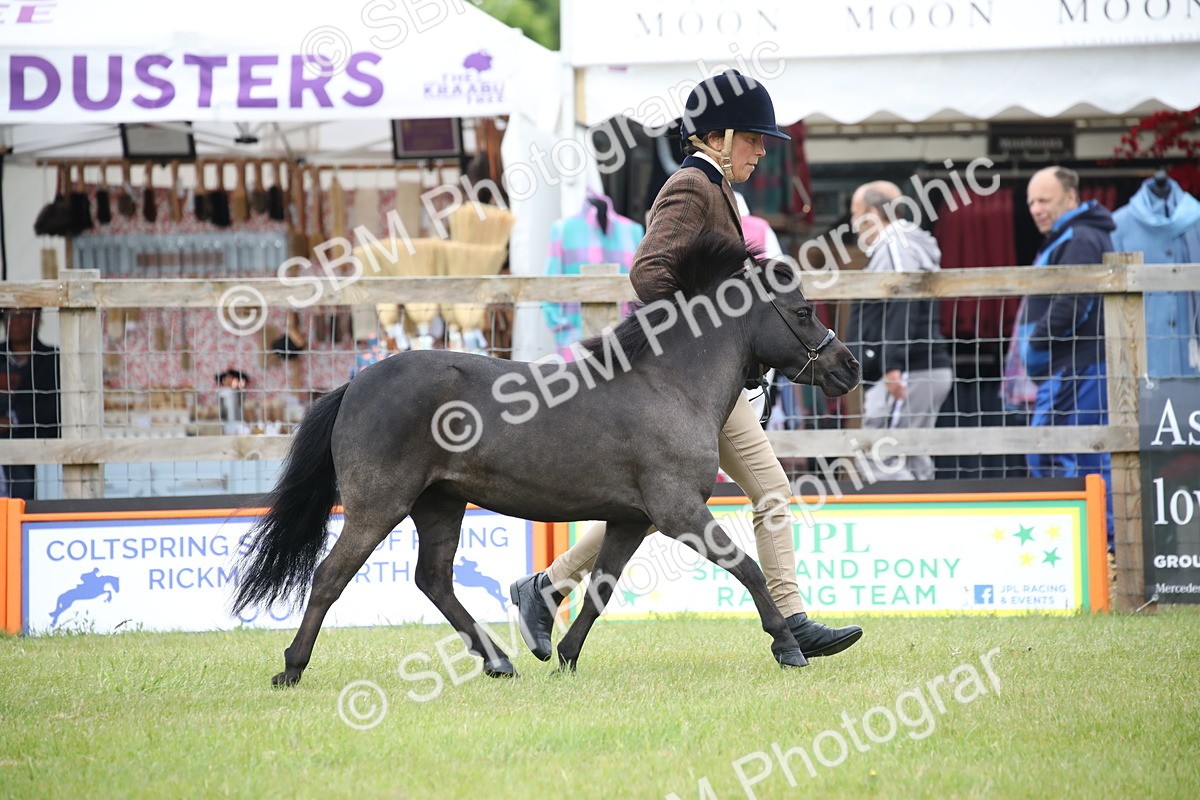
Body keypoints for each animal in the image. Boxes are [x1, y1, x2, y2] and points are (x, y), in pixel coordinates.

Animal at [232, 232, 860, 686]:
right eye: (803, 311)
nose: (849, 369)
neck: (670, 384)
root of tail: (356, 384)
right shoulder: (678, 512)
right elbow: (747, 567)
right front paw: (788, 646)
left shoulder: (632, 519)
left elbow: (601, 588)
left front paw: (565, 654)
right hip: (378, 504)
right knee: (330, 576)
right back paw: (291, 668)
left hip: (440, 504)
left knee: (433, 579)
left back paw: (499, 660)